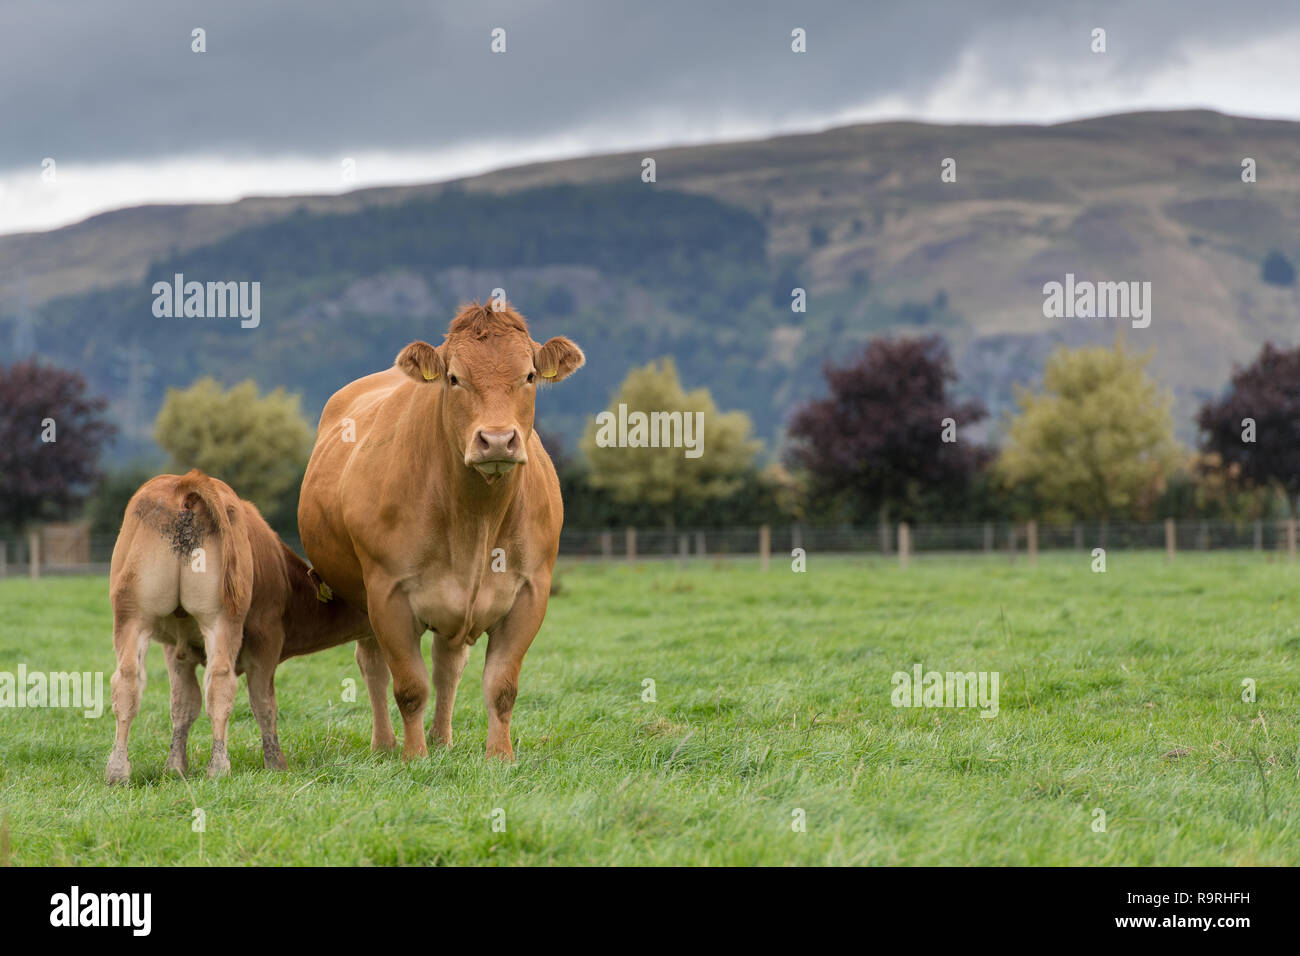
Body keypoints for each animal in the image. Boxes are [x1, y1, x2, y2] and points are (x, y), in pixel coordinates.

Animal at [105, 470, 373, 783]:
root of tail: (184, 484)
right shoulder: (267, 640)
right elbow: (263, 703)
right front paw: (276, 764)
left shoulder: (175, 649)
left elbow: (183, 705)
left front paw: (175, 767)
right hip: (222, 618)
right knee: (221, 682)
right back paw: (219, 767)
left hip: (132, 616)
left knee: (127, 681)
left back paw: (117, 771)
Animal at [297, 301, 584, 760]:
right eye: (454, 378)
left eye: (529, 376)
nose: (497, 440)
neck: (476, 520)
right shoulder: (388, 595)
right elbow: (410, 686)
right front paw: (414, 757)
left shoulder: (530, 593)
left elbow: (501, 686)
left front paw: (500, 757)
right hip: (360, 597)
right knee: (373, 666)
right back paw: (385, 745)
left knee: (448, 666)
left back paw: (443, 739)